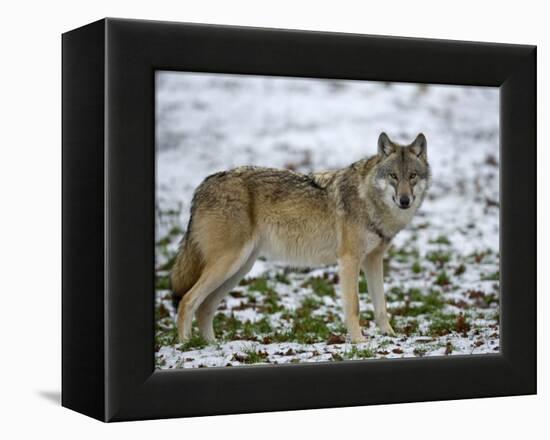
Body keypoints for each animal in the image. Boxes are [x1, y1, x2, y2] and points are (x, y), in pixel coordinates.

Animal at [171, 132, 432, 346]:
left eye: (412, 176)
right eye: (393, 176)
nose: (405, 200)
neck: (369, 200)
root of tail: (202, 186)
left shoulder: (373, 260)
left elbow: (381, 306)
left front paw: (390, 336)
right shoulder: (349, 260)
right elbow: (355, 306)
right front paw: (359, 341)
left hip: (239, 269)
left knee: (205, 307)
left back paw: (211, 345)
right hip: (229, 264)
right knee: (187, 301)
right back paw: (186, 345)